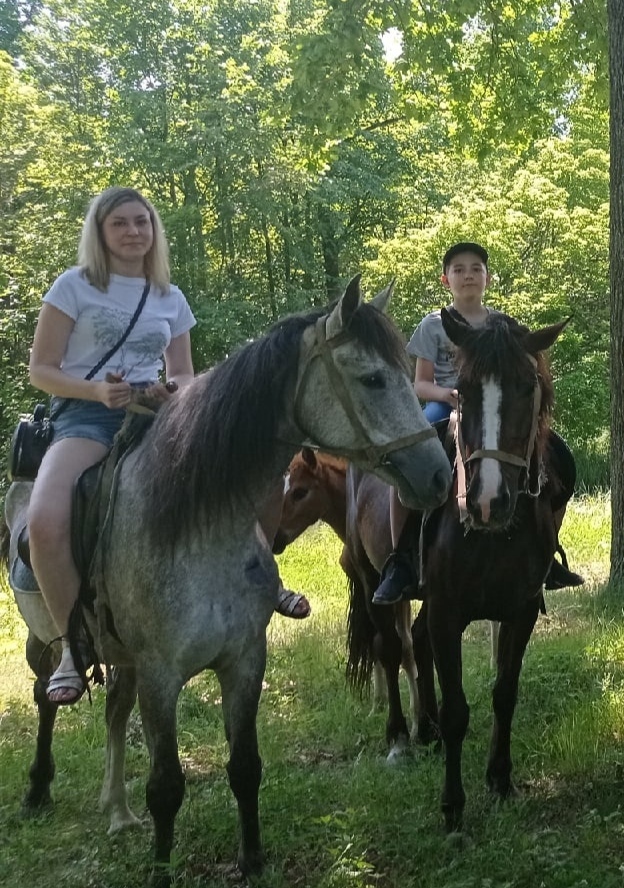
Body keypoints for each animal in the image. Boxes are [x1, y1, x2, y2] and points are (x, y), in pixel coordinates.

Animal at [1, 276, 453, 884]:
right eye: (373, 379)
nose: (439, 474)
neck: (190, 525)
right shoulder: (161, 676)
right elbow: (166, 786)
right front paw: (162, 867)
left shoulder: (242, 660)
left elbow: (245, 767)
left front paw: (252, 858)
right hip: (45, 641)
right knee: (46, 698)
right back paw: (38, 789)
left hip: (121, 659)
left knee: (115, 712)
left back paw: (117, 811)